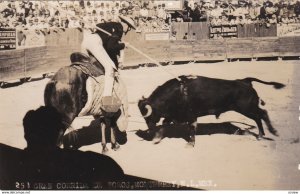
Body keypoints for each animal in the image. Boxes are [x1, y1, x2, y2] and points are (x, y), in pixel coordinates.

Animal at [137, 75, 284, 146]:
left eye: (148, 116)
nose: (149, 130)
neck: (179, 91)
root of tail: (245, 81)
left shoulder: (190, 115)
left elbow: (191, 129)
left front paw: (190, 144)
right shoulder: (174, 115)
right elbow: (164, 125)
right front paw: (157, 138)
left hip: (246, 107)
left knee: (262, 114)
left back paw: (271, 132)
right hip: (247, 108)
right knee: (258, 117)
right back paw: (260, 135)